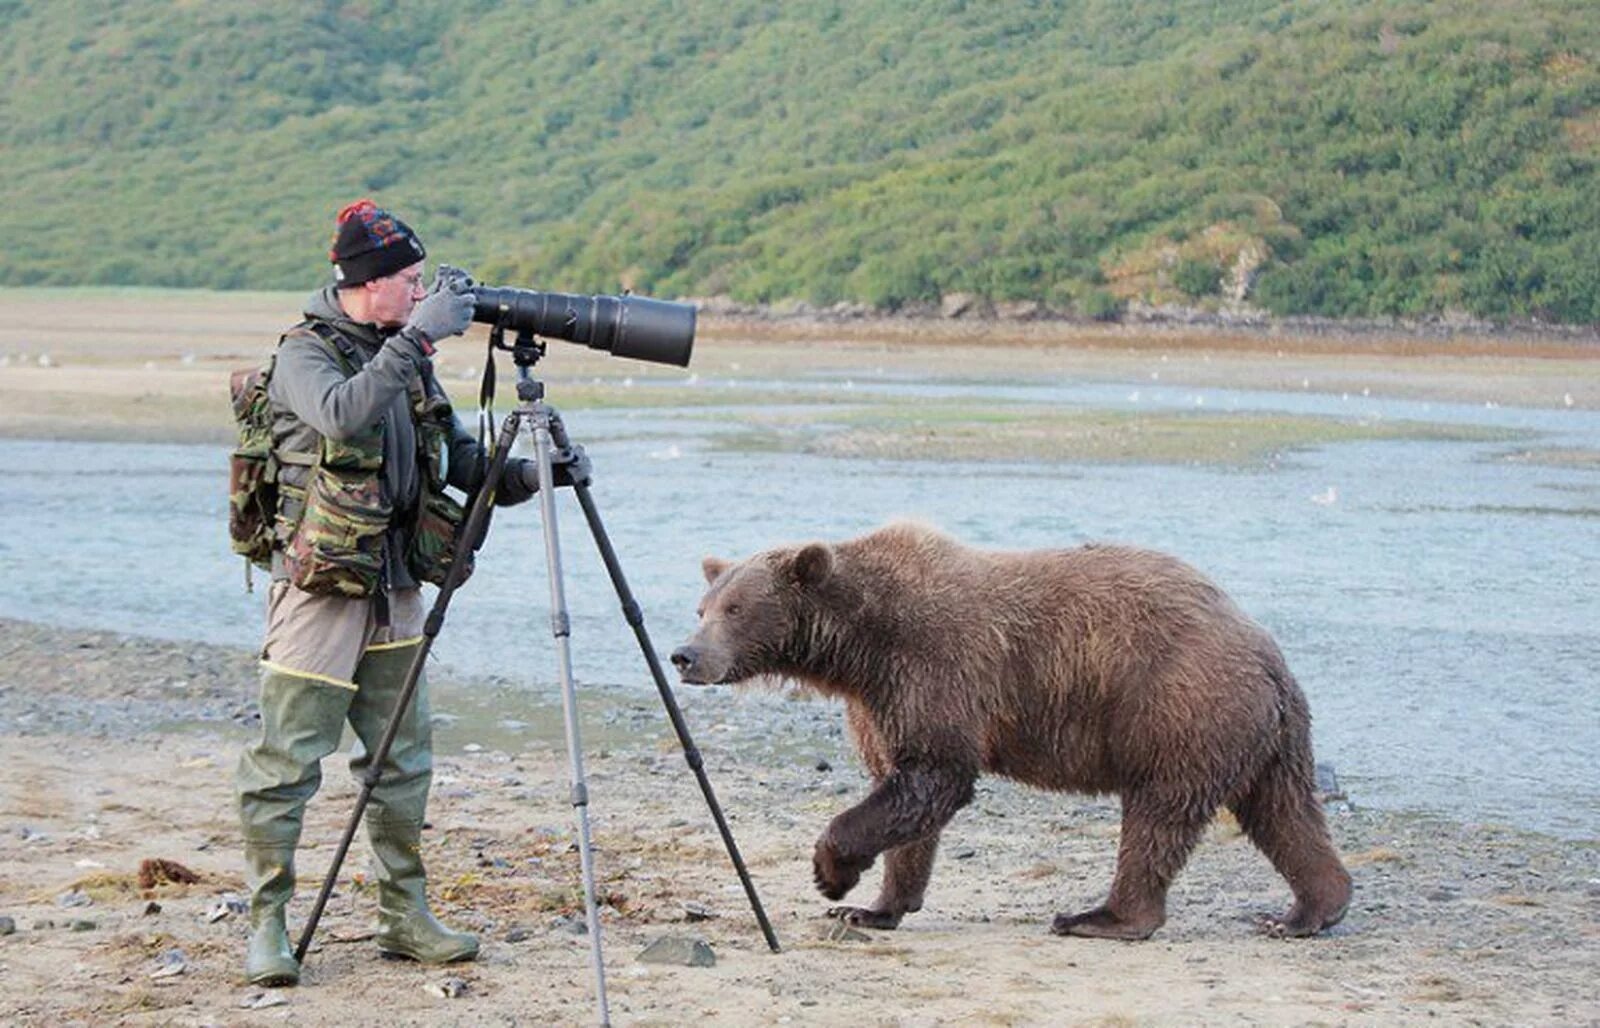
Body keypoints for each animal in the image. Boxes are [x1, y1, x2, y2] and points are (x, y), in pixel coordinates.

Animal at [668, 518, 1356, 935]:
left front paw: (832, 876)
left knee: (1158, 816)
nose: (684, 656)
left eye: (737, 608)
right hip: (1265, 734)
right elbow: (907, 796)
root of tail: (1264, 649)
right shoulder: (883, 699)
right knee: (1283, 811)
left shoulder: (936, 666)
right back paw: (1310, 909)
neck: (860, 645)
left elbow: (934, 777)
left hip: (1179, 705)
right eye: (703, 607)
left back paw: (1102, 917)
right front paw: (877, 906)